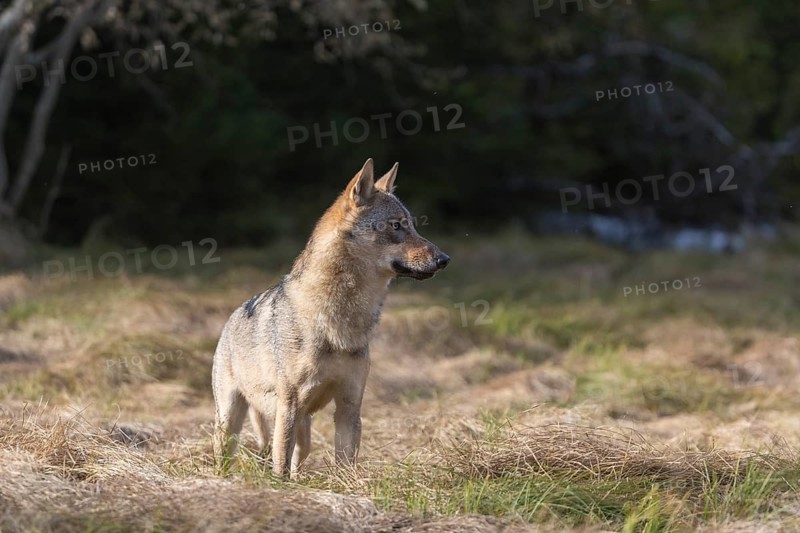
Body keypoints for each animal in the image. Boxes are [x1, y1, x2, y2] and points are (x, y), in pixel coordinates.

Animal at [211, 159, 450, 477]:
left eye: (412, 225)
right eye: (397, 225)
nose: (444, 259)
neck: (339, 322)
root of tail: (234, 314)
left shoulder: (350, 405)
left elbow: (345, 462)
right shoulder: (289, 406)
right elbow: (279, 465)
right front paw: (277, 487)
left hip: (304, 432)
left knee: (298, 462)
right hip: (231, 422)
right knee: (230, 456)